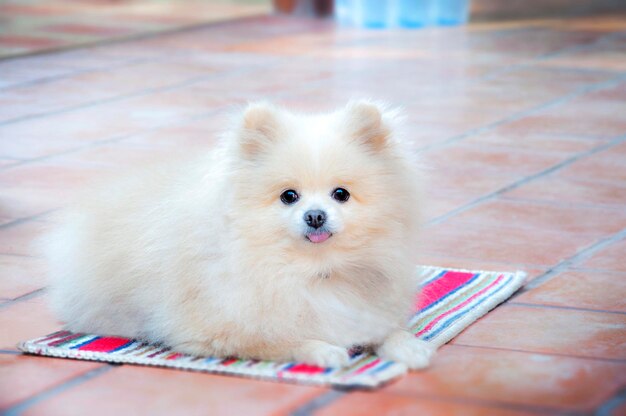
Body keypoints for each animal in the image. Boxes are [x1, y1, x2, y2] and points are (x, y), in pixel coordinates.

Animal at [45, 100, 434, 368]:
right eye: (289, 196)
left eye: (341, 194)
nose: (315, 216)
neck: (312, 270)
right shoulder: (211, 333)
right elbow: (281, 340)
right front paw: (324, 350)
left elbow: (389, 330)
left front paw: (410, 346)